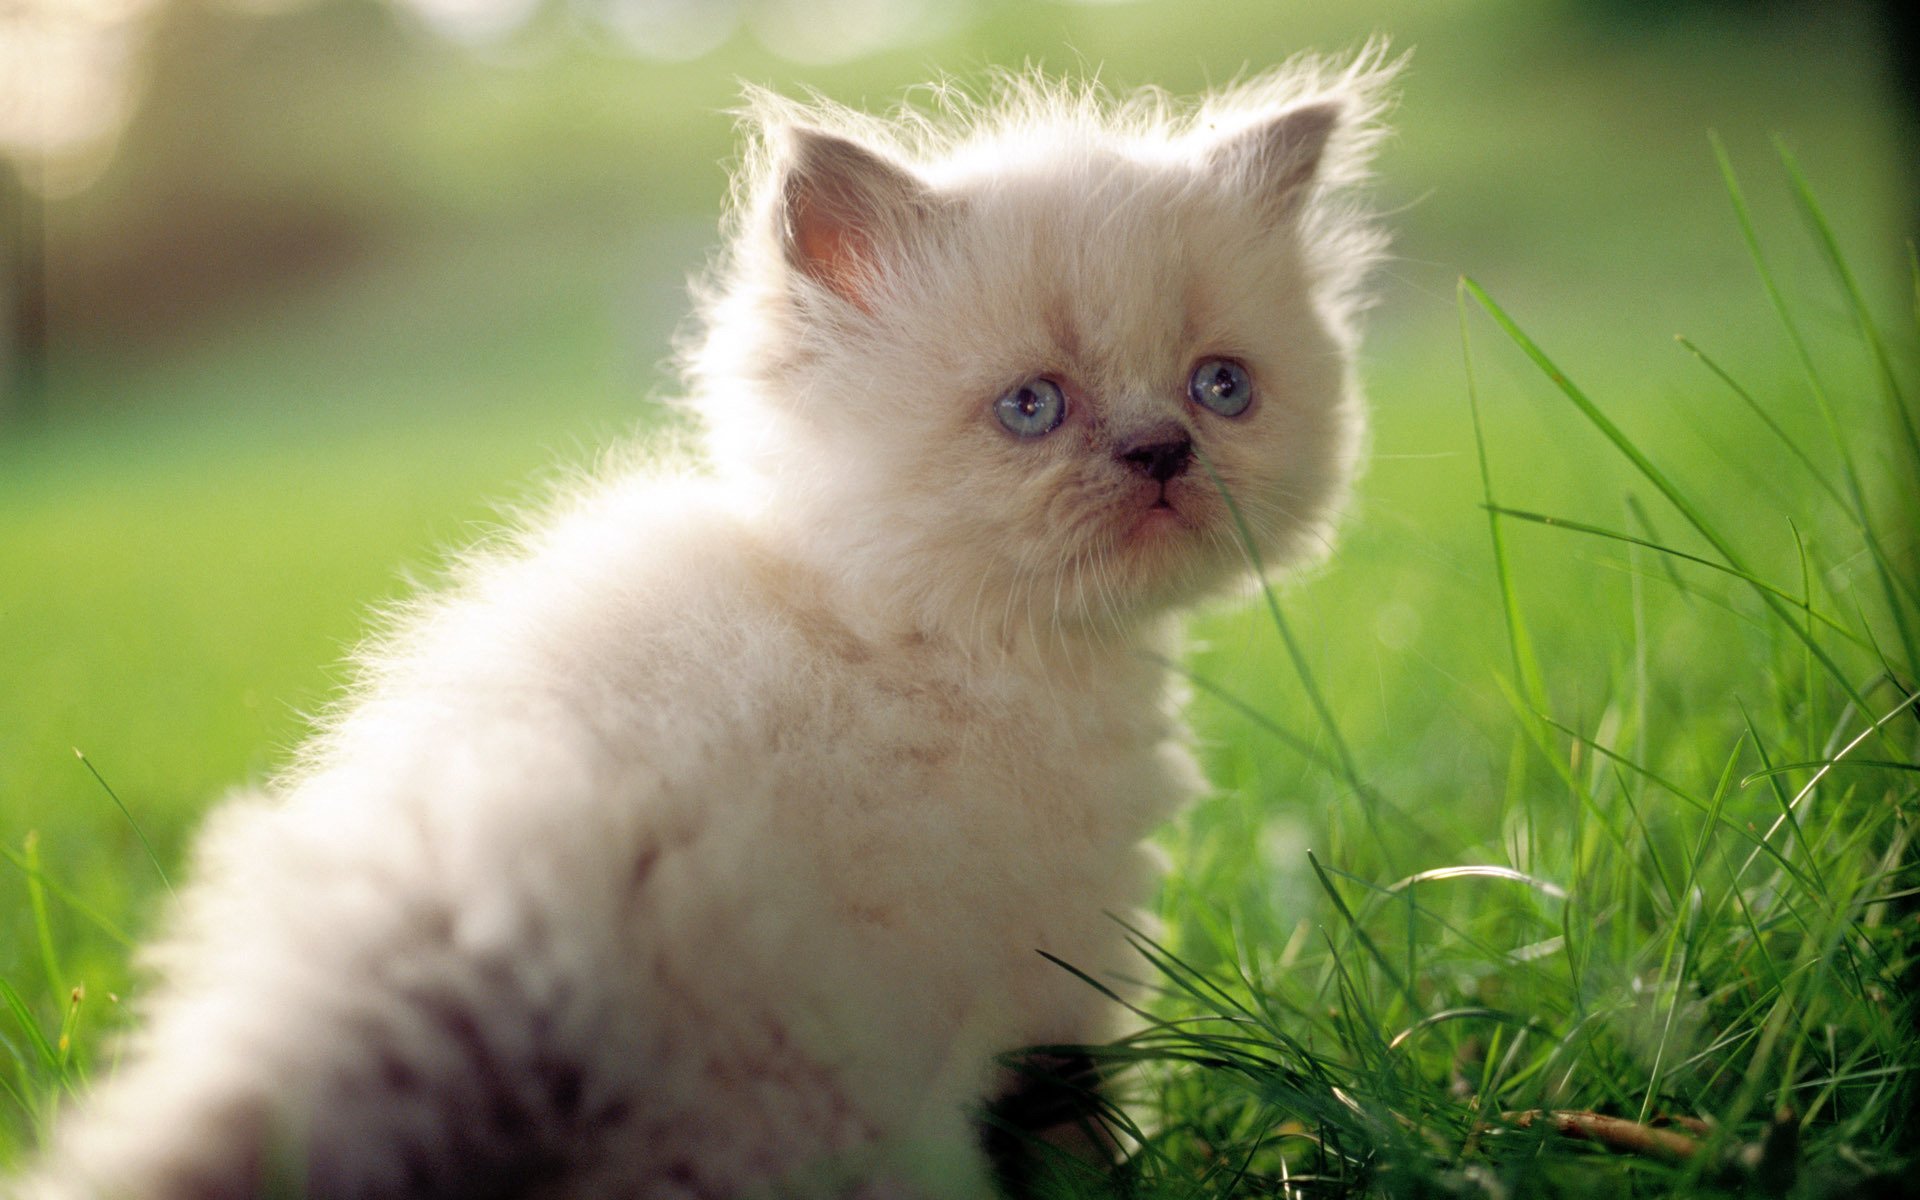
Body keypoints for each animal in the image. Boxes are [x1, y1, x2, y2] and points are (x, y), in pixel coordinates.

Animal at [18, 51, 1397, 1198]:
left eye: (1221, 388)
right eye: (1031, 408)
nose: (1162, 452)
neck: (922, 637)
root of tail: (496, 941)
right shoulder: (1061, 968)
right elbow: (1082, 1135)